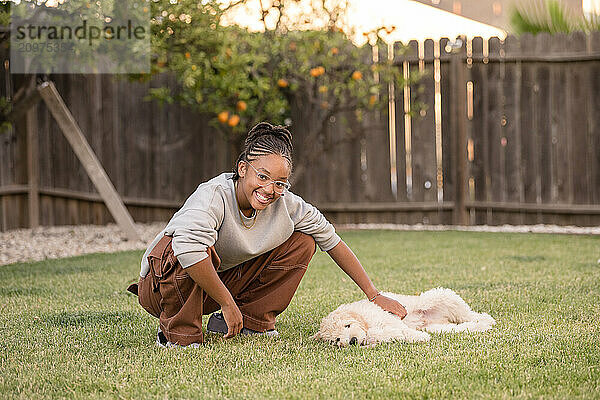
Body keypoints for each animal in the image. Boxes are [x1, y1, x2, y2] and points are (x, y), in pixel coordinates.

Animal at [312, 288, 494, 346]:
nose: (352, 341)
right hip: (439, 327)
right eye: (336, 339)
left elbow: (399, 328)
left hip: (440, 297)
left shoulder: (386, 316)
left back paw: (487, 319)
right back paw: (481, 326)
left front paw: (418, 337)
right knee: (462, 326)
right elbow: (388, 333)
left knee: (468, 314)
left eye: (347, 326)